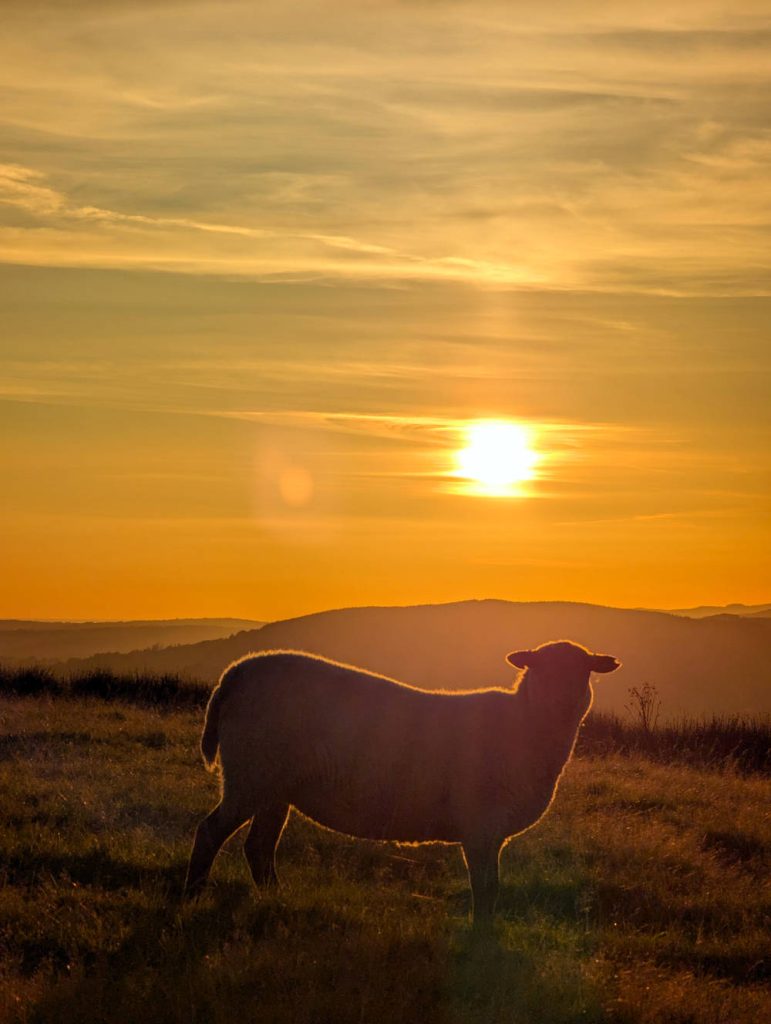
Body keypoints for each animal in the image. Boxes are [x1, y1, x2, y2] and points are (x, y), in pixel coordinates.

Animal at [184, 640, 620, 929]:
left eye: (583, 670)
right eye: (539, 669)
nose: (561, 702)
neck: (524, 725)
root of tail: (234, 675)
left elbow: (488, 886)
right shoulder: (481, 825)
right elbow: (486, 887)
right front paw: (482, 935)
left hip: (274, 787)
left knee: (259, 847)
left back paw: (278, 898)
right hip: (250, 775)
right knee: (210, 832)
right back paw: (192, 896)